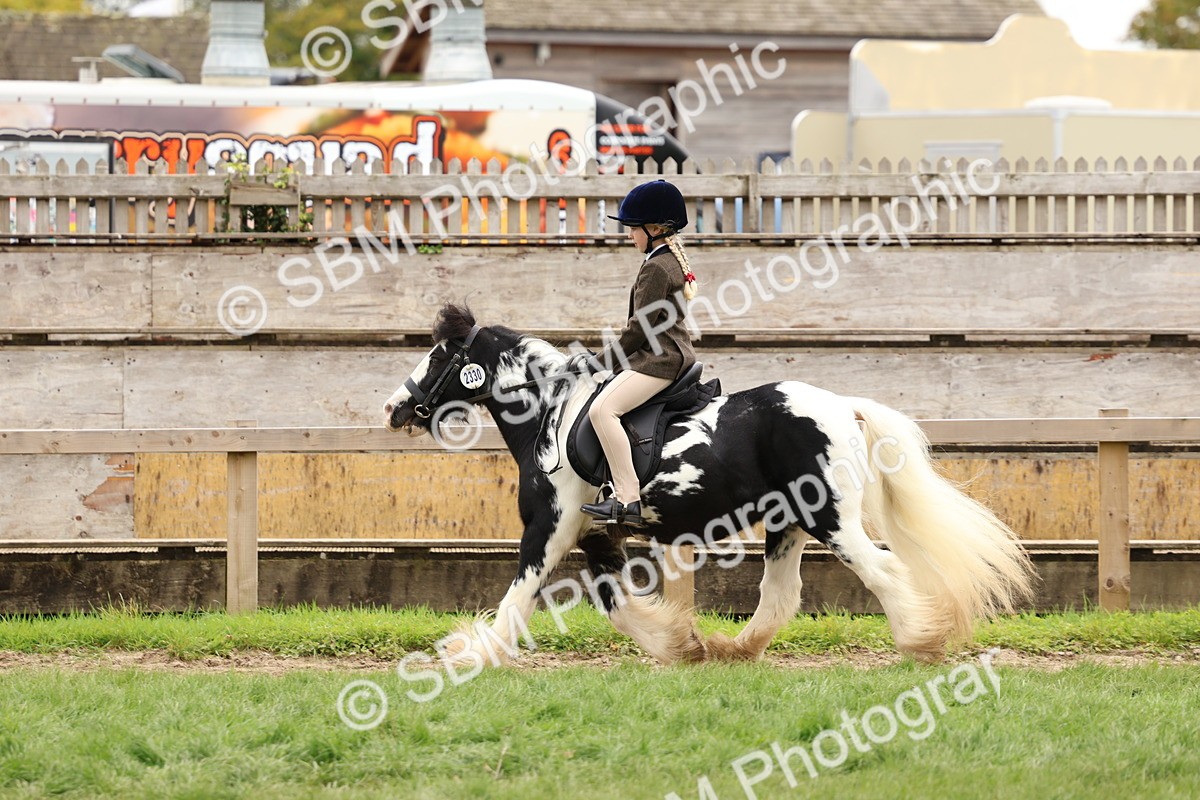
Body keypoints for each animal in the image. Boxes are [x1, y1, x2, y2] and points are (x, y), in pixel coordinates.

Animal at [383, 304, 1034, 666]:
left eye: (439, 354)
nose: (394, 407)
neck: (552, 412)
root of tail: (842, 406)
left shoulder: (550, 528)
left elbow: (518, 595)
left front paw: (472, 652)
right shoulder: (596, 536)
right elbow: (616, 604)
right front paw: (678, 645)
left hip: (828, 519)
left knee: (883, 570)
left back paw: (920, 642)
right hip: (788, 522)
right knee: (780, 596)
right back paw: (731, 650)